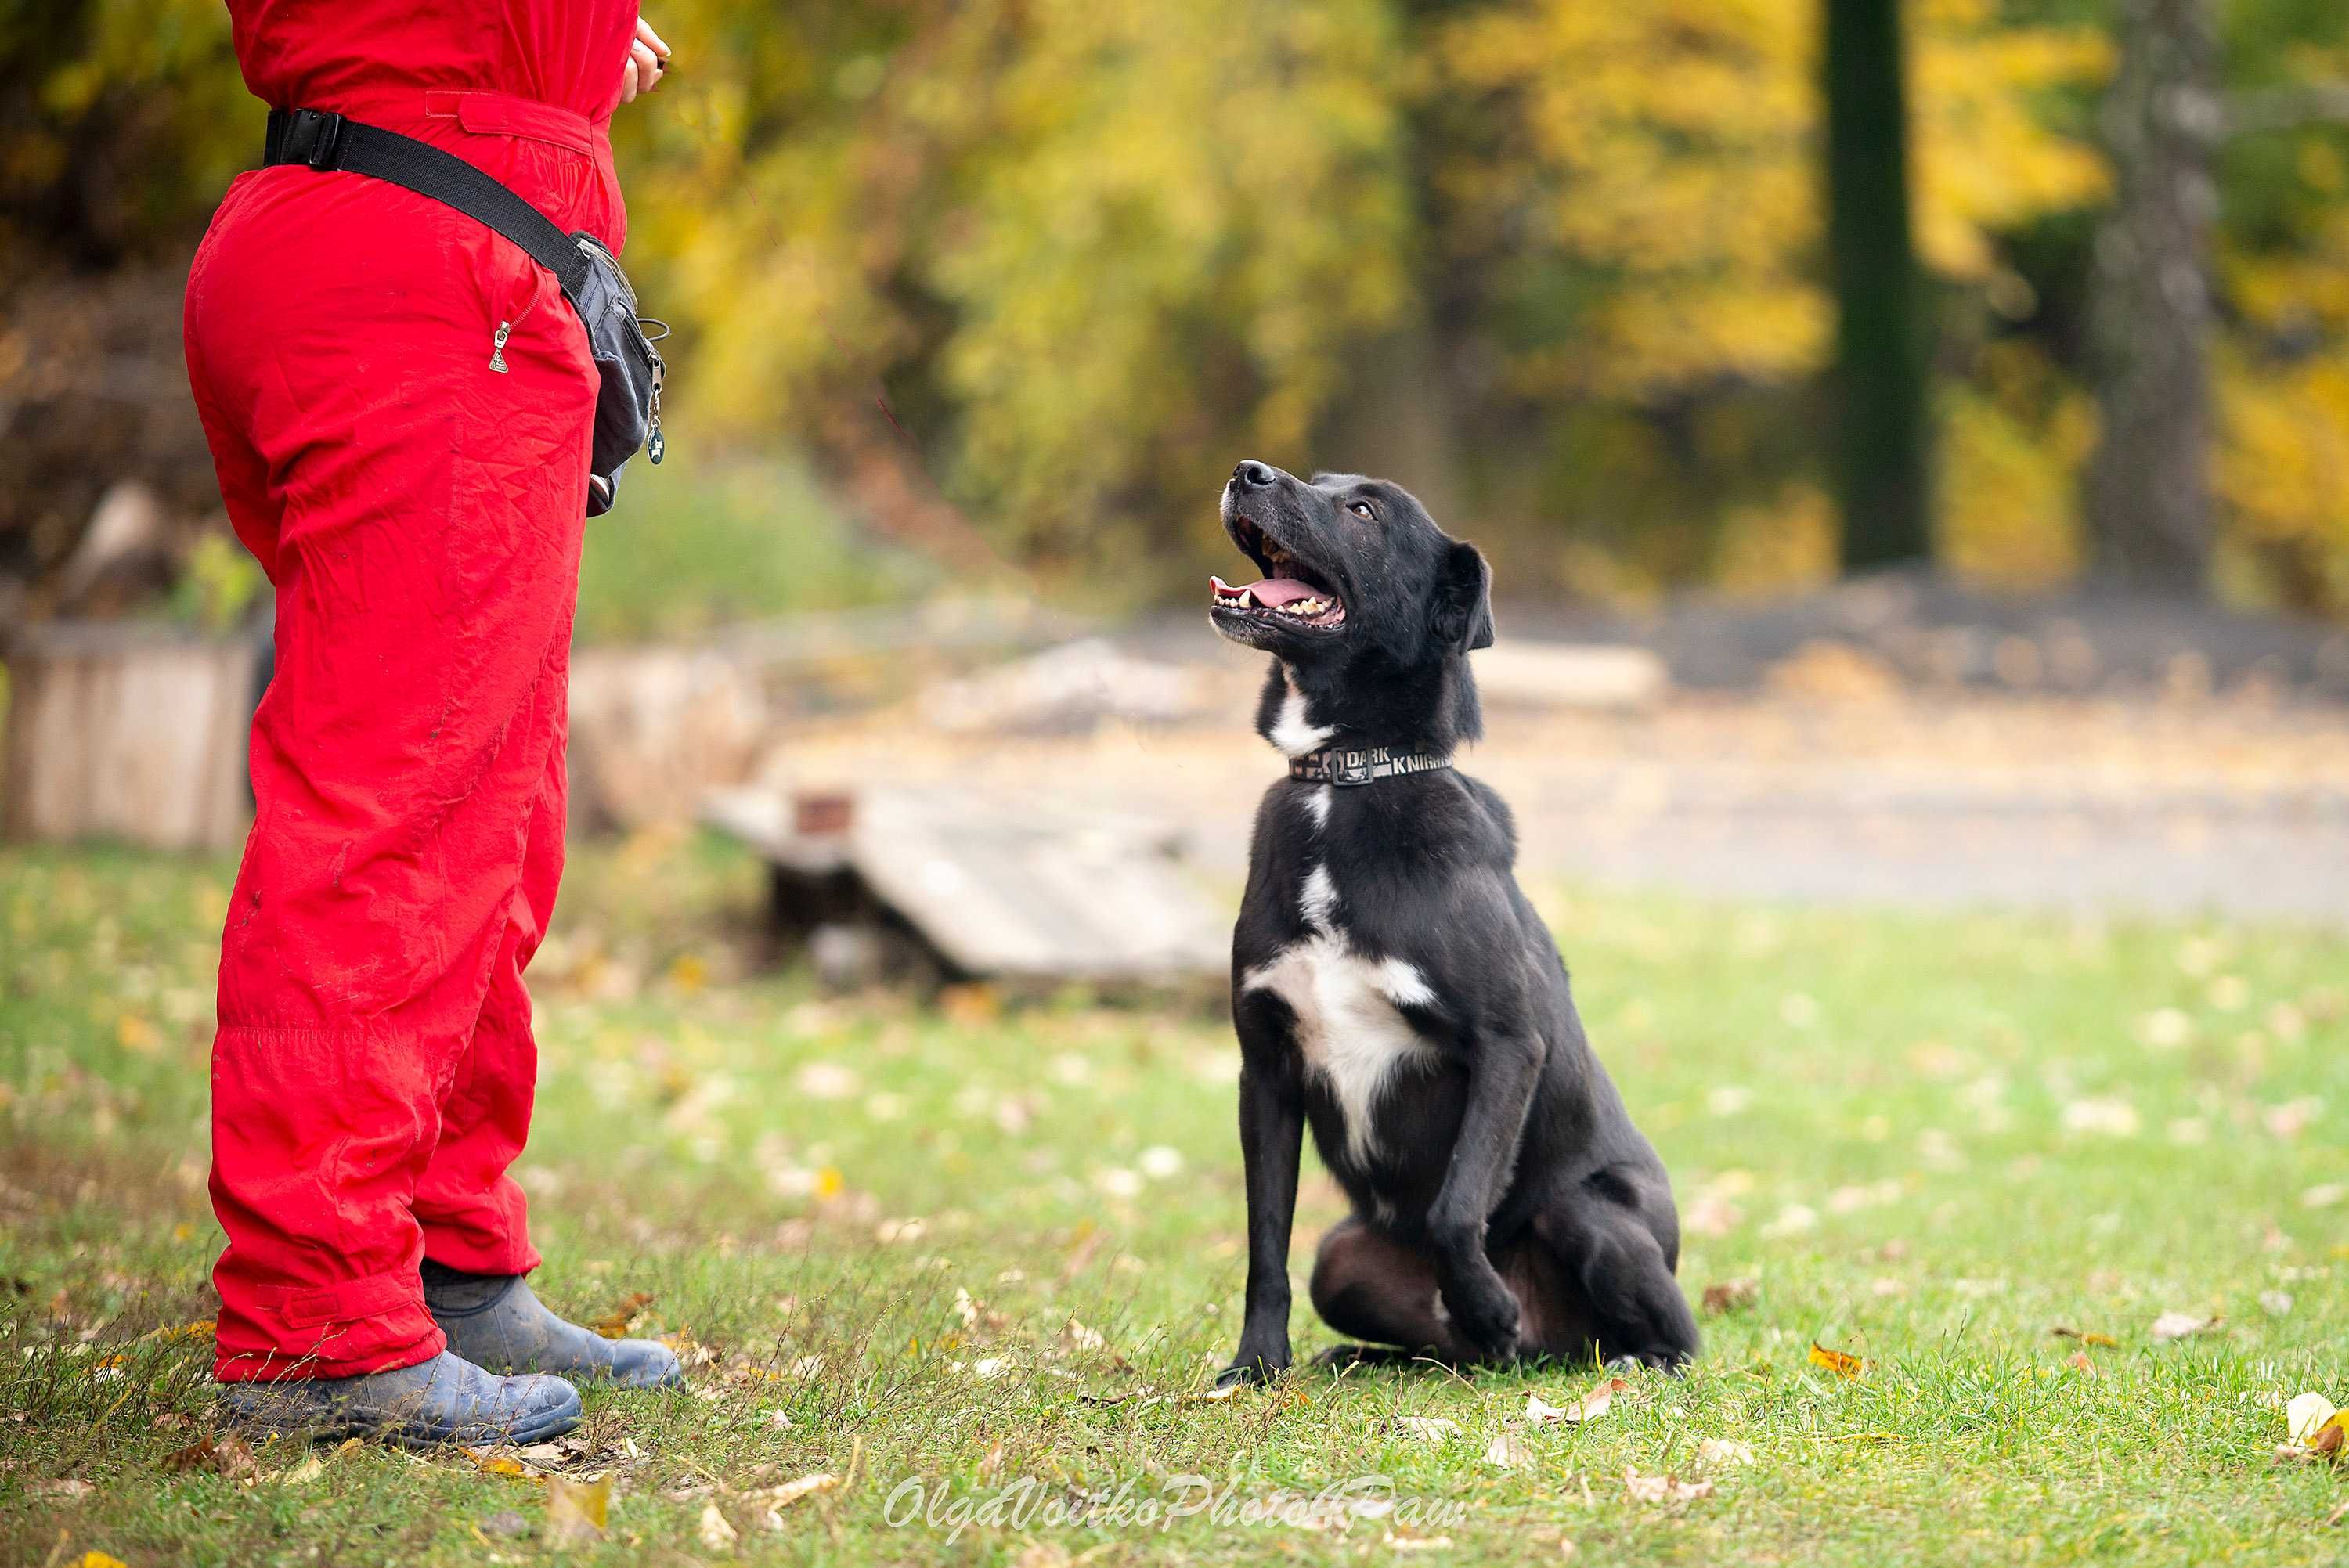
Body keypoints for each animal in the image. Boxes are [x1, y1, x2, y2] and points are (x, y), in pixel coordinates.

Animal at [1212, 455, 1691, 1380]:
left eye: (1364, 511)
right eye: (1317, 478)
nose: (1246, 471)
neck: (1347, 777)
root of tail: (1552, 1353)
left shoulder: (1509, 1043)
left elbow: (1457, 1201)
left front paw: (1487, 1302)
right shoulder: (1267, 1070)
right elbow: (1265, 1239)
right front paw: (1257, 1364)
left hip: (1592, 1215)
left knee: (1677, 1333)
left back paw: (1611, 1354)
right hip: (1344, 1256)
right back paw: (1374, 1354)